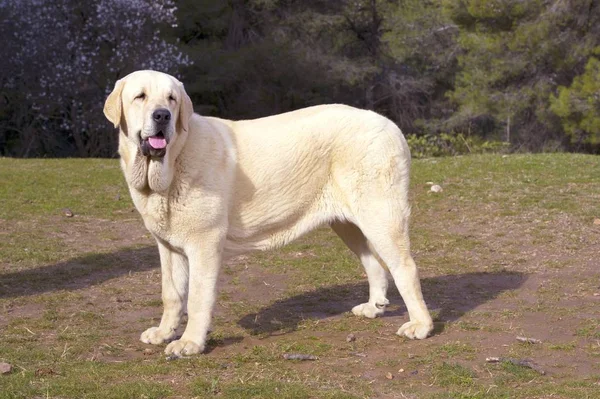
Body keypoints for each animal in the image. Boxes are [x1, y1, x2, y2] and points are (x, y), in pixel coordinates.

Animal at [102, 69, 432, 356]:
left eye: (171, 99)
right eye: (140, 96)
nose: (162, 115)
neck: (174, 160)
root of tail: (390, 125)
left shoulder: (204, 244)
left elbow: (196, 297)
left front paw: (190, 343)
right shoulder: (168, 247)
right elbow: (171, 294)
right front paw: (163, 333)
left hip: (380, 215)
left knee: (405, 267)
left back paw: (421, 325)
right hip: (349, 224)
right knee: (373, 261)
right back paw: (373, 307)